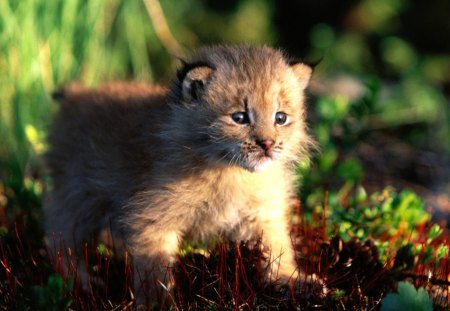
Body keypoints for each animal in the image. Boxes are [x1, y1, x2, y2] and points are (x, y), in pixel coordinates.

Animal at [44, 45, 312, 304]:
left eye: (280, 118)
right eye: (239, 118)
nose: (267, 144)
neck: (228, 169)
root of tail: (75, 94)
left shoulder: (262, 211)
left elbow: (277, 246)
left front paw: (290, 280)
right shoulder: (151, 217)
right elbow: (154, 269)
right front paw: (157, 303)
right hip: (77, 195)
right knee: (60, 238)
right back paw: (80, 284)